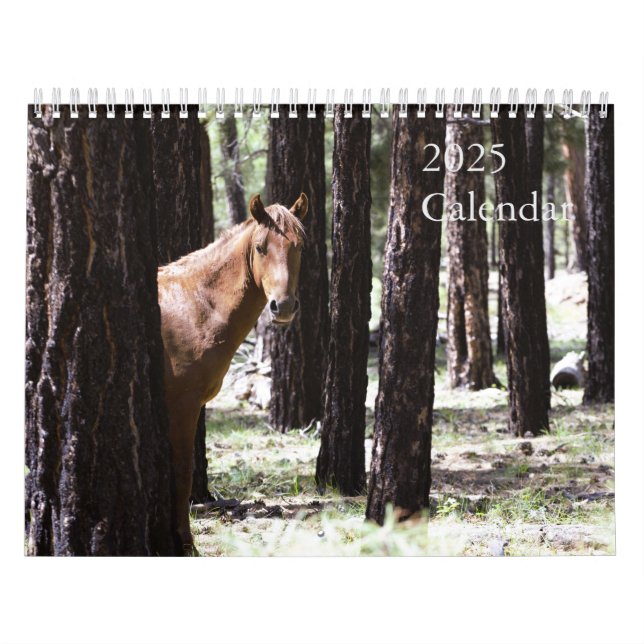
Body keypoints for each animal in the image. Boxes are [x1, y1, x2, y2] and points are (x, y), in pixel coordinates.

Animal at [158, 193, 308, 551]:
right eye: (261, 247)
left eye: (299, 246)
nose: (283, 307)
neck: (194, 305)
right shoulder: (182, 406)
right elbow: (182, 474)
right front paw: (186, 545)